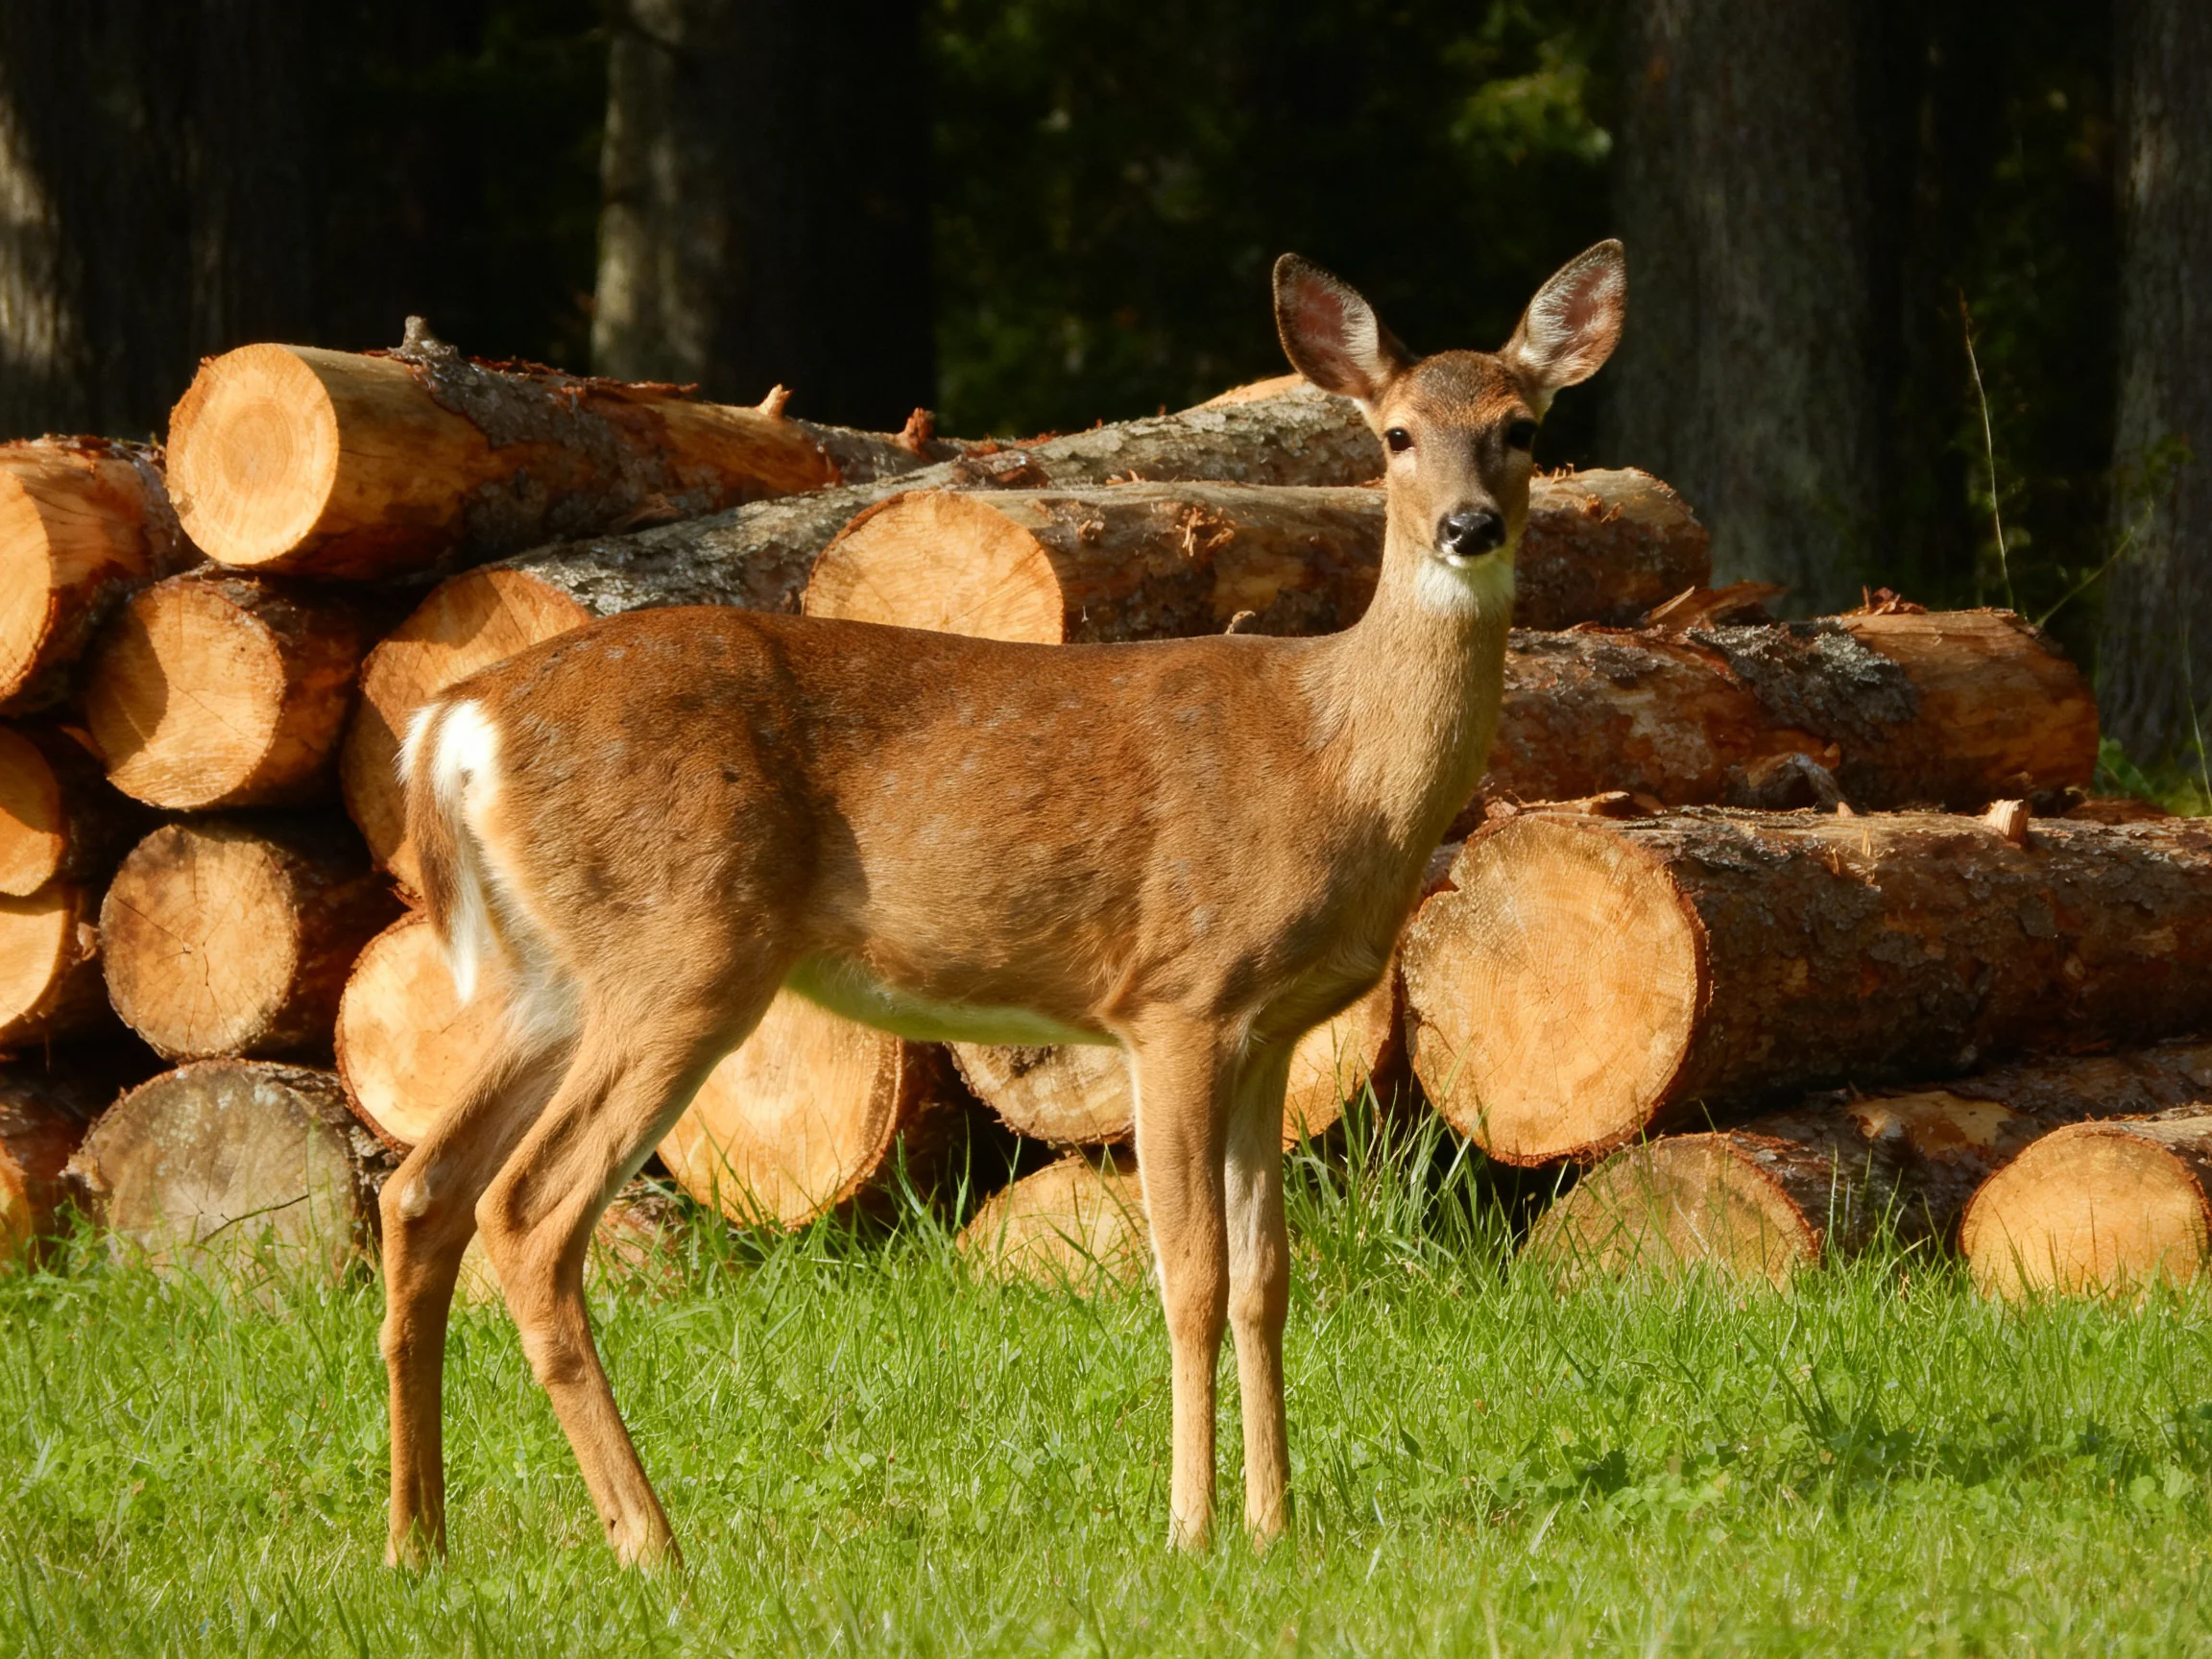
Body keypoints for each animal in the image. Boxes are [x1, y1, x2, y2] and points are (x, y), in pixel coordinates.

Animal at [377, 240, 1627, 1568]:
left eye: (1523, 428)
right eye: (1395, 435)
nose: (1467, 526)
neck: (1333, 758)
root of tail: (454, 722)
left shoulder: (1272, 1034)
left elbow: (1266, 1278)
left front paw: (1275, 1524)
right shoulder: (1178, 998)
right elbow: (1189, 1274)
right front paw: (1191, 1528)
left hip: (551, 975)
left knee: (423, 1190)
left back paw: (420, 1539)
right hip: (682, 951)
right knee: (528, 1211)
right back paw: (650, 1542)